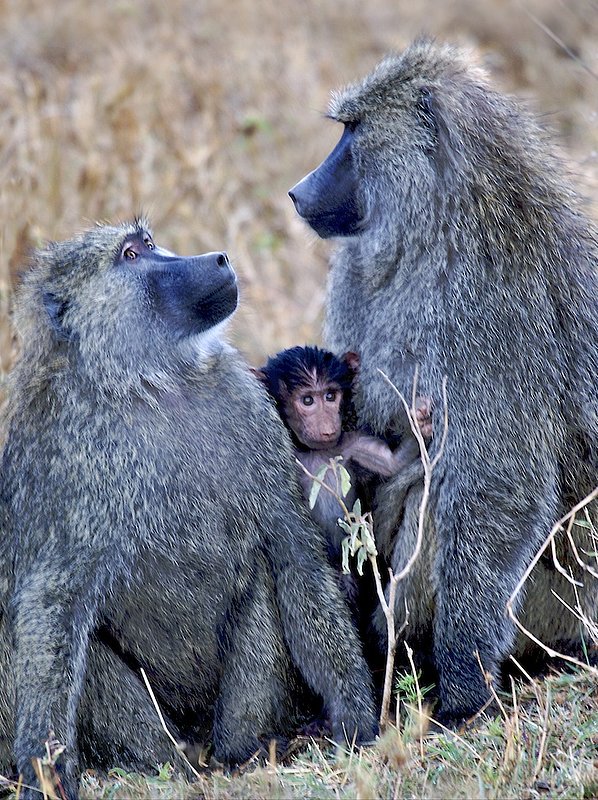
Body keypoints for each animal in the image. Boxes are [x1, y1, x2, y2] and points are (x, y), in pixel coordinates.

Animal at [0, 220, 378, 799]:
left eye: (151, 242)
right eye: (131, 255)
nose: (217, 259)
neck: (150, 382)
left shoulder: (244, 404)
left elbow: (293, 551)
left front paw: (354, 716)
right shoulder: (67, 459)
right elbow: (50, 603)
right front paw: (46, 772)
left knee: (263, 579)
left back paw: (244, 752)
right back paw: (171, 765)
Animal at [289, 39, 598, 729]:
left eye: (352, 131)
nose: (297, 191)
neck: (438, 231)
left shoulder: (493, 310)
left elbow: (497, 485)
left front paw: (462, 685)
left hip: (559, 603)